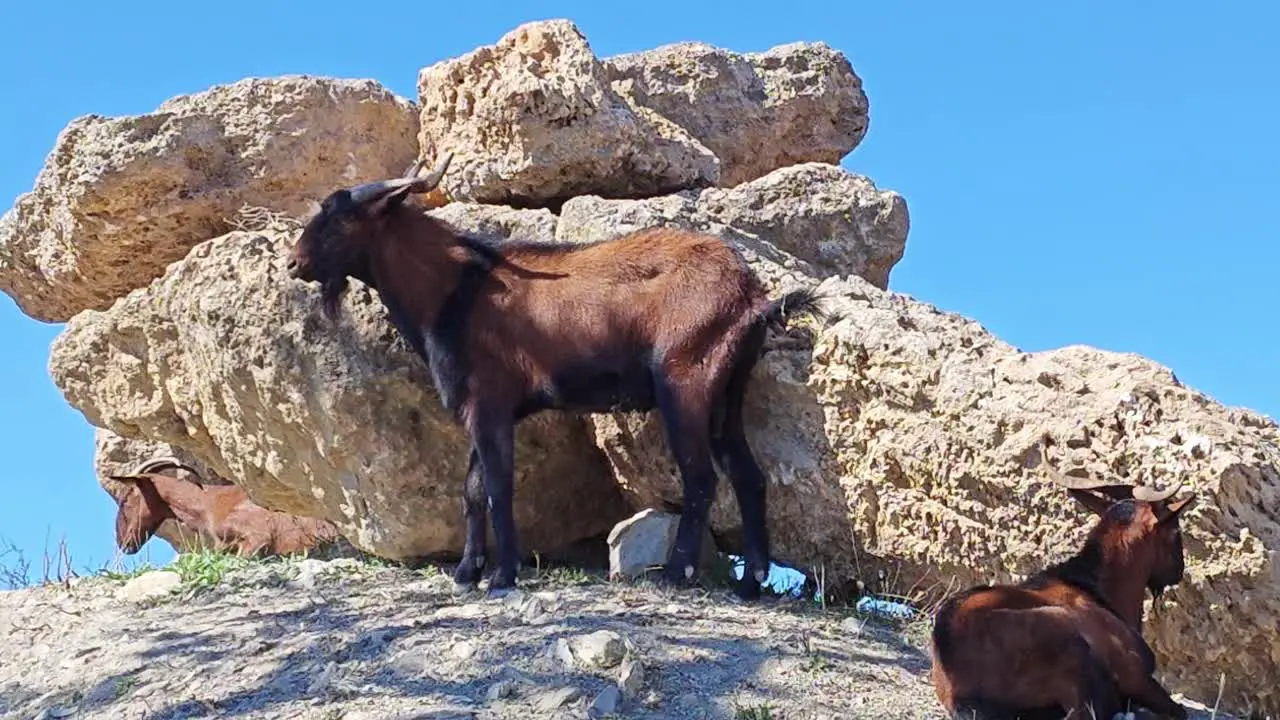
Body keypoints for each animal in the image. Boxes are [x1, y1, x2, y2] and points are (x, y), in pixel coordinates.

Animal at [285, 152, 824, 599]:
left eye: (338, 217)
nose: (294, 262)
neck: (458, 290)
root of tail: (752, 298)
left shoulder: (490, 403)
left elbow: (497, 485)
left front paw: (502, 576)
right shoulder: (482, 411)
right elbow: (472, 488)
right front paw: (466, 573)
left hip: (685, 383)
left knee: (701, 479)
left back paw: (675, 575)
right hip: (727, 394)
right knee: (748, 477)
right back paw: (751, 583)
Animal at [931, 466, 1198, 717]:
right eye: (1176, 532)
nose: (1178, 571)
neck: (1094, 585)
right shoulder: (1135, 673)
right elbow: (1177, 710)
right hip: (1064, 635)